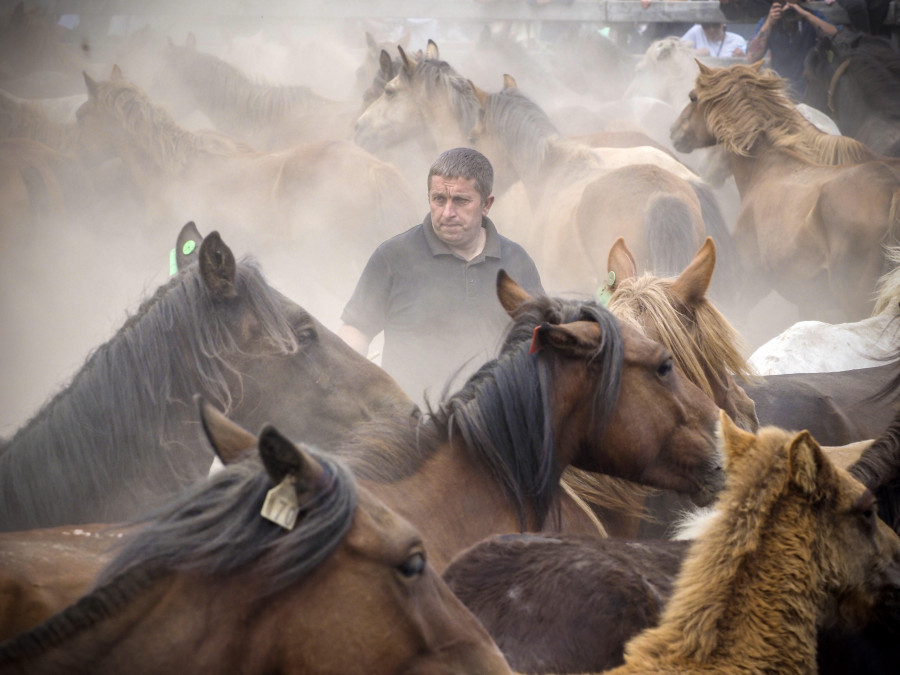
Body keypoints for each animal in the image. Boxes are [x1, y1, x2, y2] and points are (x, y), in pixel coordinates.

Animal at [672, 61, 900, 324]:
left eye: (692, 97)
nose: (673, 132)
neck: (766, 166)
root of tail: (891, 188)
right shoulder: (807, 301)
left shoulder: (753, 280)